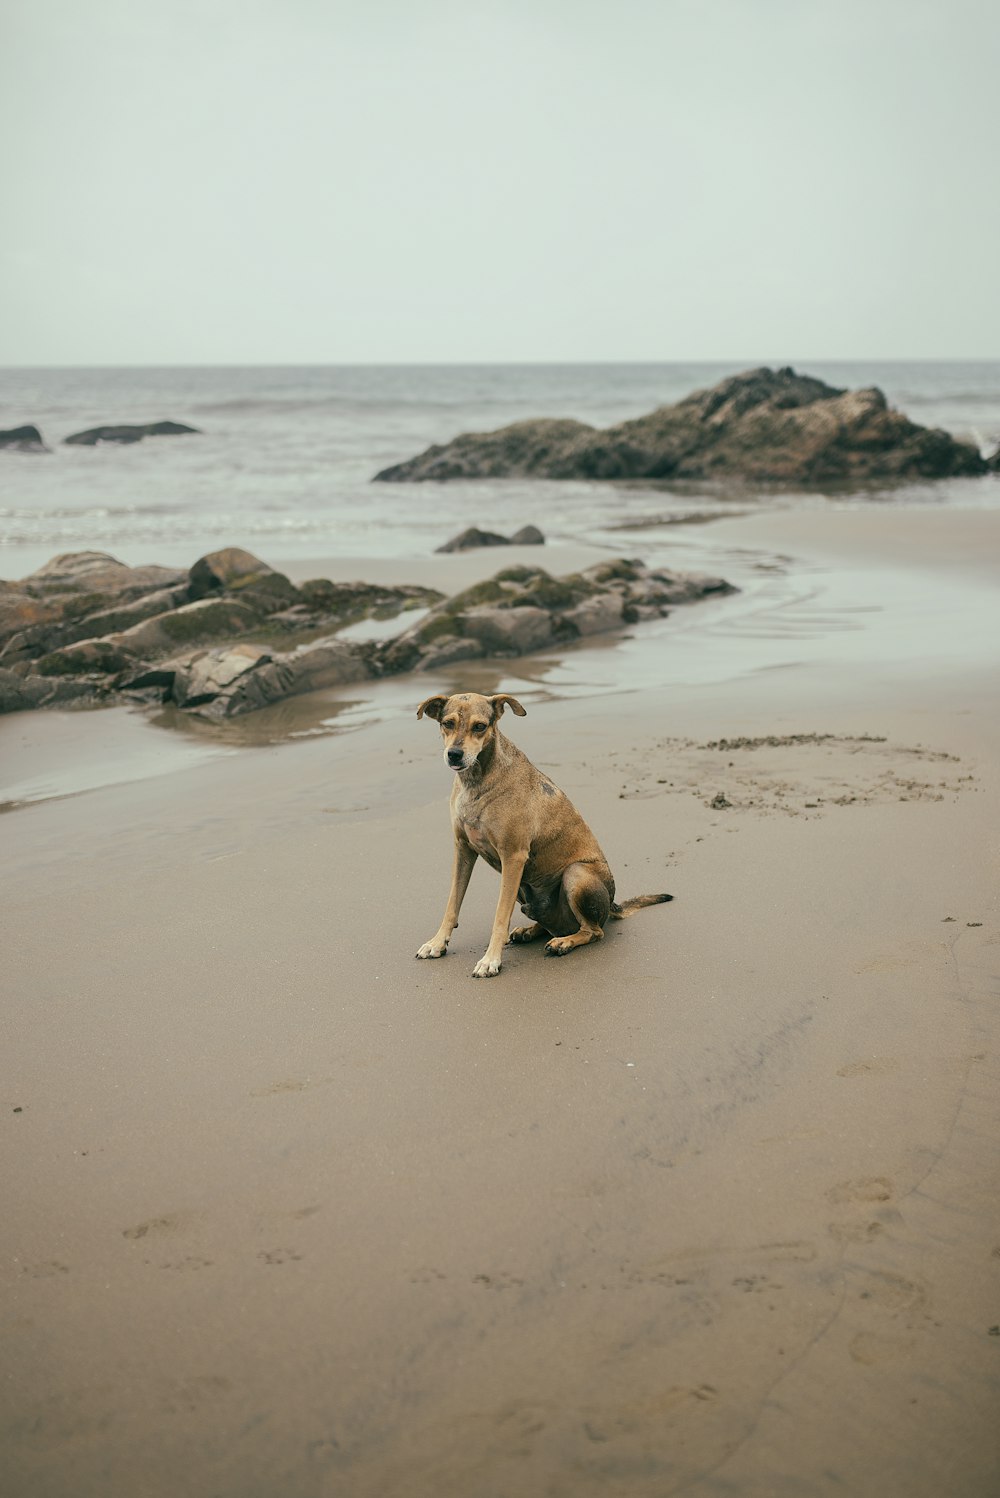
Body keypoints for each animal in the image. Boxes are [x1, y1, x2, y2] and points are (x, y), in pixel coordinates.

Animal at [413, 692, 670, 976]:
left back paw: (563, 942)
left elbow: (500, 915)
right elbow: (452, 904)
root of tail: (613, 903)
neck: (477, 780)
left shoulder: (513, 857)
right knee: (552, 924)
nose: (454, 755)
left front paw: (491, 959)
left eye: (479, 726)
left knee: (593, 931)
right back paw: (529, 931)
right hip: (524, 888)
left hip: (575, 874)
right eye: (447, 723)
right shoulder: (463, 850)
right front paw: (437, 943)